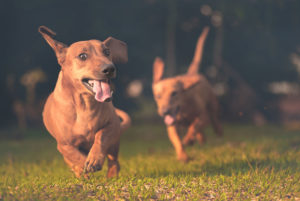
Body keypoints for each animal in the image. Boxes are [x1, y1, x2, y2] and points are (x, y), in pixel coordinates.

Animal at [38, 25, 130, 177]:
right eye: (82, 56)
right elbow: (75, 155)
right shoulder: (63, 144)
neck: (85, 105)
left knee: (114, 161)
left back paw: (111, 175)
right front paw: (84, 166)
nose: (110, 68)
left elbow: (100, 136)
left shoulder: (112, 125)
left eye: (107, 52)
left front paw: (94, 159)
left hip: (114, 143)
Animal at [152, 26, 223, 162]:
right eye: (158, 96)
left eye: (174, 93)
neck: (182, 110)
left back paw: (217, 132)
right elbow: (177, 141)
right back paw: (200, 139)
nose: (165, 112)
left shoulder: (203, 116)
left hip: (213, 105)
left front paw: (189, 139)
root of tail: (191, 73)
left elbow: (194, 126)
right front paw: (182, 155)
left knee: (214, 118)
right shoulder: (171, 126)